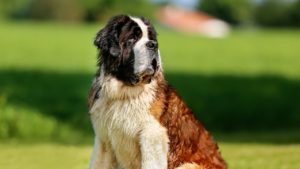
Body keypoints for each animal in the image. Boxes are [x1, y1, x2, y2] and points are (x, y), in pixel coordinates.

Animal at [88, 14, 226, 169]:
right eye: (132, 38)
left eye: (151, 38)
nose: (153, 44)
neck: (124, 92)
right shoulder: (103, 140)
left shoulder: (152, 135)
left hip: (187, 165)